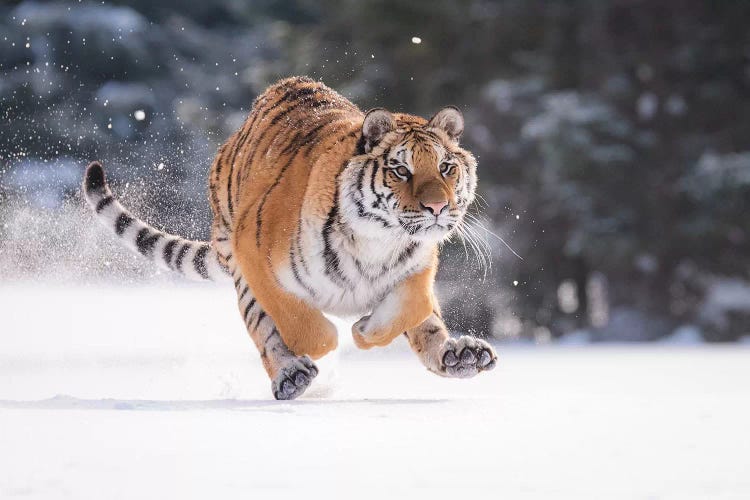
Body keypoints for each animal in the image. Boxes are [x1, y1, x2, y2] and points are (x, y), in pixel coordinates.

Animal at [83, 76, 500, 400]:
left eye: (446, 167)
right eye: (401, 170)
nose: (437, 207)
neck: (379, 241)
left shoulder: (420, 265)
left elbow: (414, 308)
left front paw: (366, 330)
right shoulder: (256, 256)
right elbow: (305, 325)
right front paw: (335, 338)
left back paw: (461, 355)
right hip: (237, 261)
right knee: (264, 330)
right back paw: (290, 375)